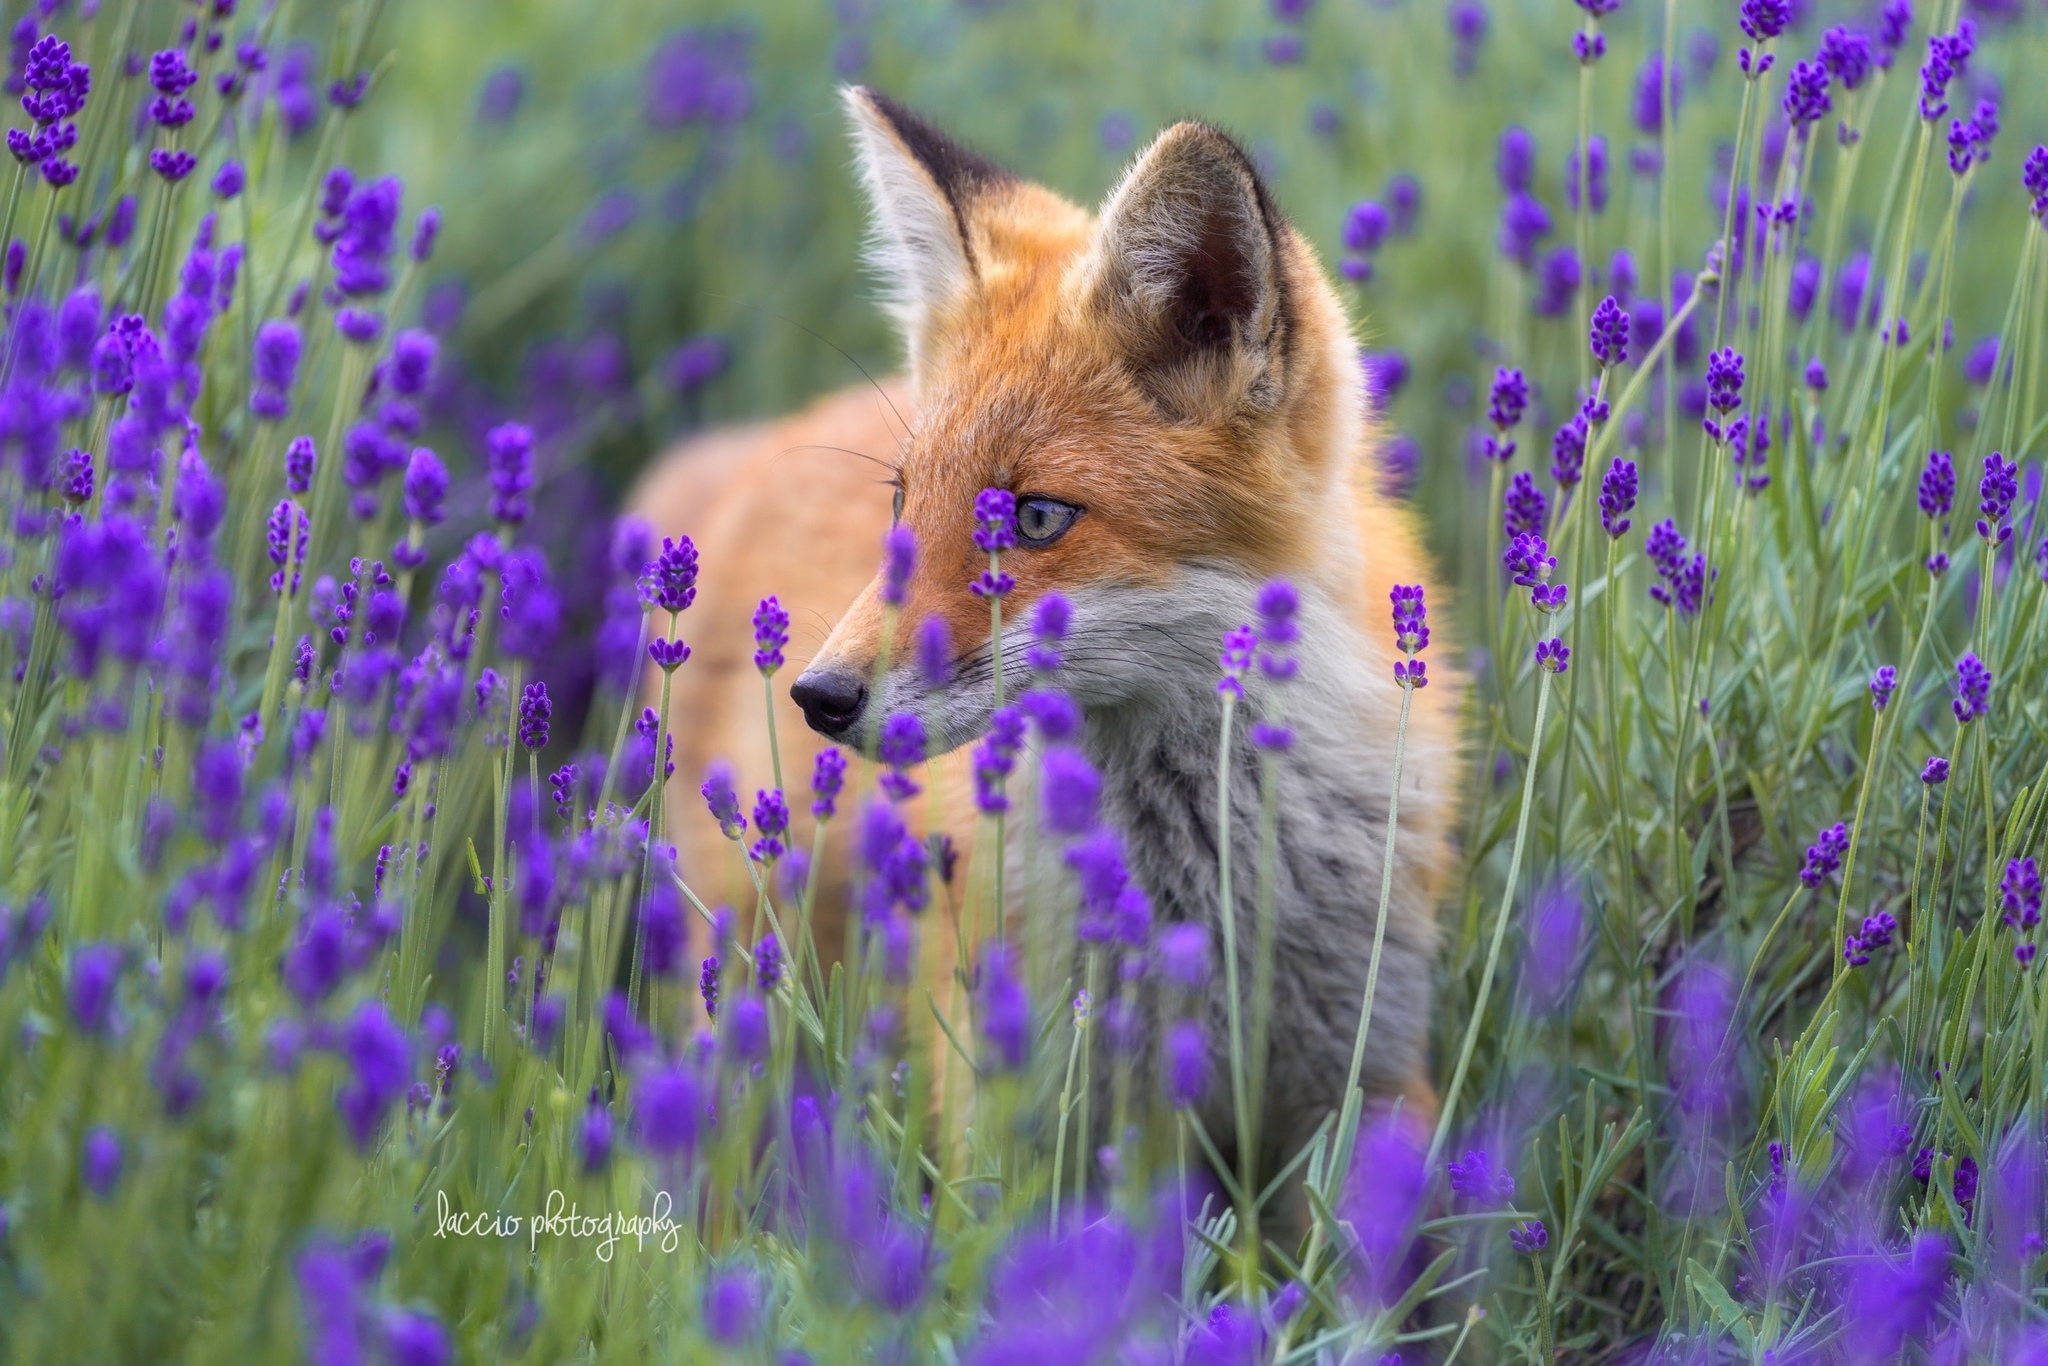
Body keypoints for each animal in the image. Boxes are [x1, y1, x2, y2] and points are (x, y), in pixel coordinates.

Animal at [622, 88, 1458, 1196]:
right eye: (905, 502)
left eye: (1032, 519)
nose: (819, 696)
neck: (1199, 898)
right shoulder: (1021, 1104)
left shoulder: (1368, 1074)